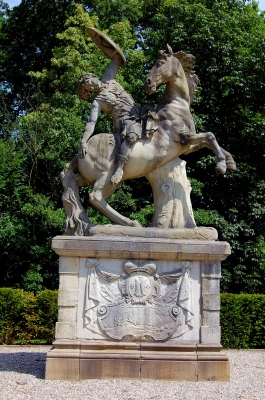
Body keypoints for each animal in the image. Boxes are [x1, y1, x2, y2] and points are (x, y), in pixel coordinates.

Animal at [62, 45, 235, 233]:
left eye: (159, 63)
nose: (148, 83)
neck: (176, 106)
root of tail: (80, 154)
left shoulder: (187, 146)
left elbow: (209, 141)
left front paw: (229, 161)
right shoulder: (183, 138)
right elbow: (210, 136)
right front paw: (221, 165)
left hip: (91, 178)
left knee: (79, 189)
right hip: (105, 176)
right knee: (95, 197)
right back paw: (129, 224)